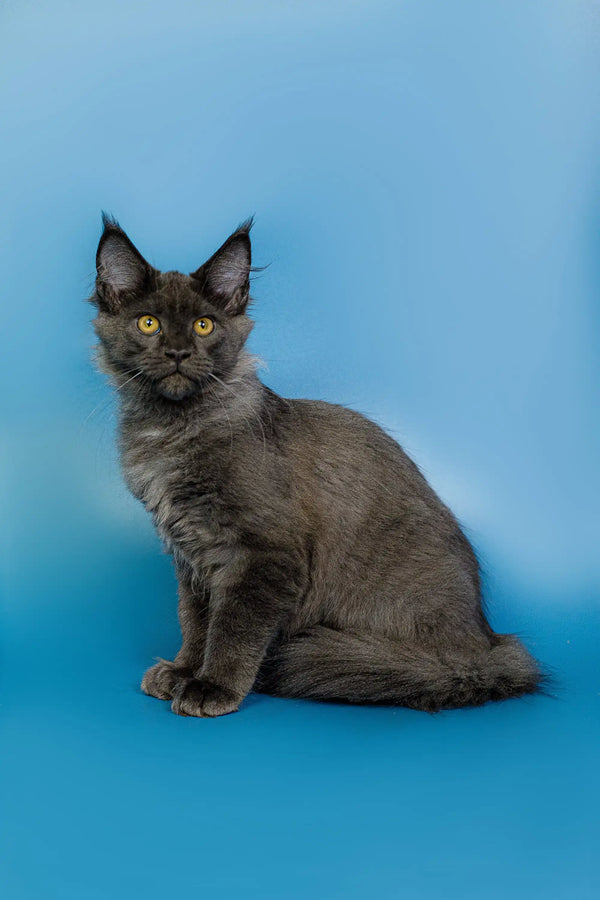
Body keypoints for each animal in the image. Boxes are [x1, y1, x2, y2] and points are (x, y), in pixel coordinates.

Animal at [90, 216, 544, 716]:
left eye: (204, 326)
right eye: (148, 323)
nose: (176, 353)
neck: (172, 431)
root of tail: (485, 646)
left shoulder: (262, 555)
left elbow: (231, 629)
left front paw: (212, 686)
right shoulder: (191, 556)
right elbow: (195, 620)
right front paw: (183, 670)